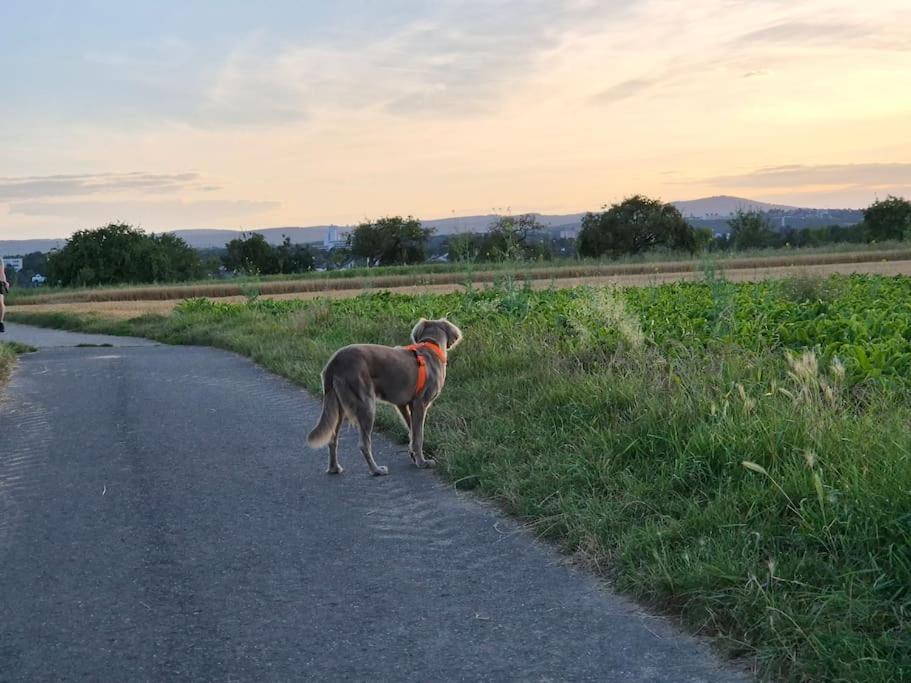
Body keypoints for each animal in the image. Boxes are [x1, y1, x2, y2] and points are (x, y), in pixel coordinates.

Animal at [308, 320, 464, 476]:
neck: (431, 346)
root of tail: (334, 362)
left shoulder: (403, 404)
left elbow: (412, 432)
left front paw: (413, 455)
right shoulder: (420, 404)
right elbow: (418, 436)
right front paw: (422, 462)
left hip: (338, 406)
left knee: (332, 438)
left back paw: (334, 468)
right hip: (366, 404)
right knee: (364, 444)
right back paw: (376, 470)